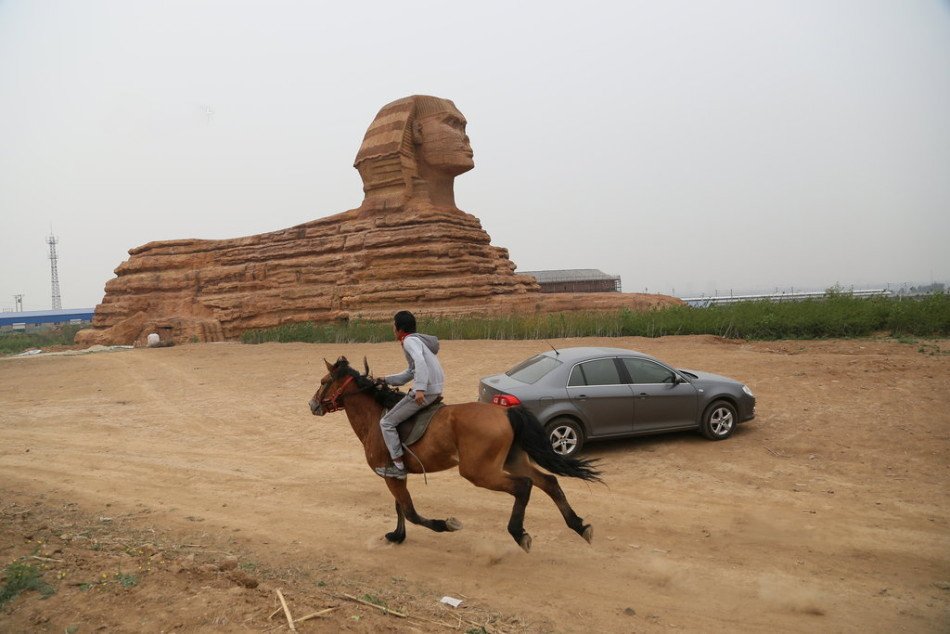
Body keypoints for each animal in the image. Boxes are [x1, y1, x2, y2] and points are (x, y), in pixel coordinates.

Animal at [308, 356, 608, 548]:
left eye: (323, 380)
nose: (312, 404)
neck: (375, 417)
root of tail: (505, 411)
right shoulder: (394, 475)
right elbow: (400, 507)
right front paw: (397, 535)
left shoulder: (391, 475)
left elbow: (411, 511)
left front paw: (446, 525)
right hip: (512, 461)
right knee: (549, 481)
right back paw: (579, 525)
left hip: (479, 471)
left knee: (524, 486)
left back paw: (518, 532)